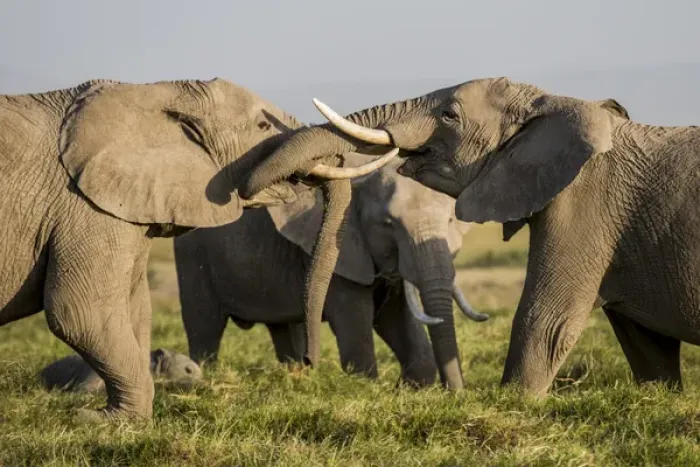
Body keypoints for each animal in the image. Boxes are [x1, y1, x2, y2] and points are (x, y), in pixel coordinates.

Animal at [175, 158, 487, 387]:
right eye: (388, 225)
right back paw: (205, 375)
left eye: (450, 220)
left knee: (283, 329)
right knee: (205, 328)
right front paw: (366, 387)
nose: (455, 393)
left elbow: (395, 318)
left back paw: (296, 373)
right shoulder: (343, 252)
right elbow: (356, 319)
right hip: (192, 255)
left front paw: (412, 387)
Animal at [241, 77, 693, 399]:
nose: (310, 362)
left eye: (449, 115)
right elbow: (646, 345)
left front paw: (515, 404)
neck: (551, 103)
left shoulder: (586, 201)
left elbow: (546, 321)